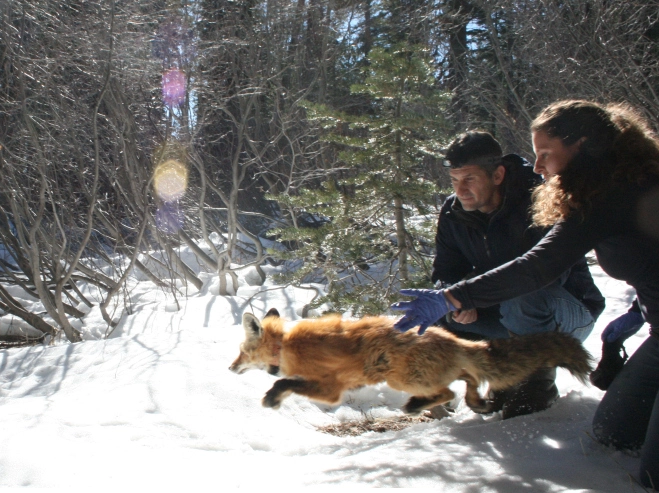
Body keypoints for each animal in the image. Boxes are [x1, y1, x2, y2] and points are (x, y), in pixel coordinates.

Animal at [229, 308, 593, 414]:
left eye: (242, 351)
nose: (230, 368)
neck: (286, 347)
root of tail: (450, 337)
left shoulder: (331, 389)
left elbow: (283, 381)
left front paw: (272, 398)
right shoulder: (335, 388)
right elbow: (286, 381)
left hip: (404, 379)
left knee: (451, 389)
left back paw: (419, 405)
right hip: (413, 376)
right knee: (468, 378)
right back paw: (474, 402)